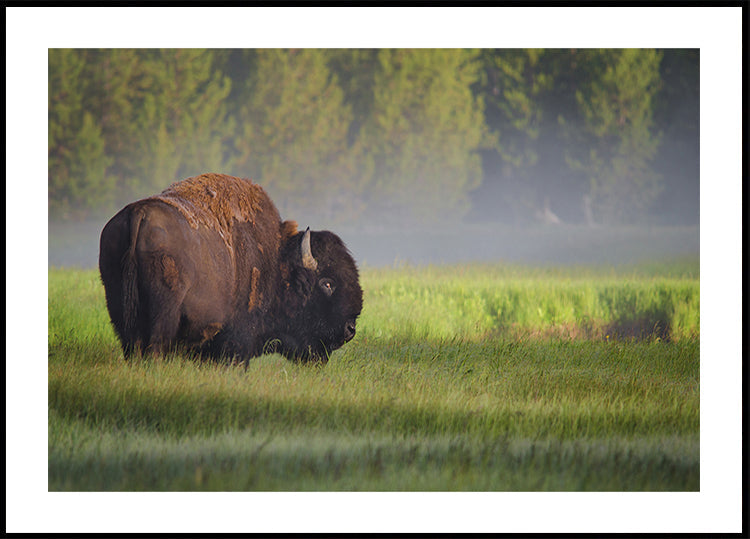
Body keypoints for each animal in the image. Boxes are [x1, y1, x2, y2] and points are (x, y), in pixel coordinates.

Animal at [99, 173, 363, 363]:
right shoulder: (238, 338)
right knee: (155, 347)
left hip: (119, 308)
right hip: (163, 313)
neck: (275, 259)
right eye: (327, 283)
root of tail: (139, 213)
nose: (350, 329)